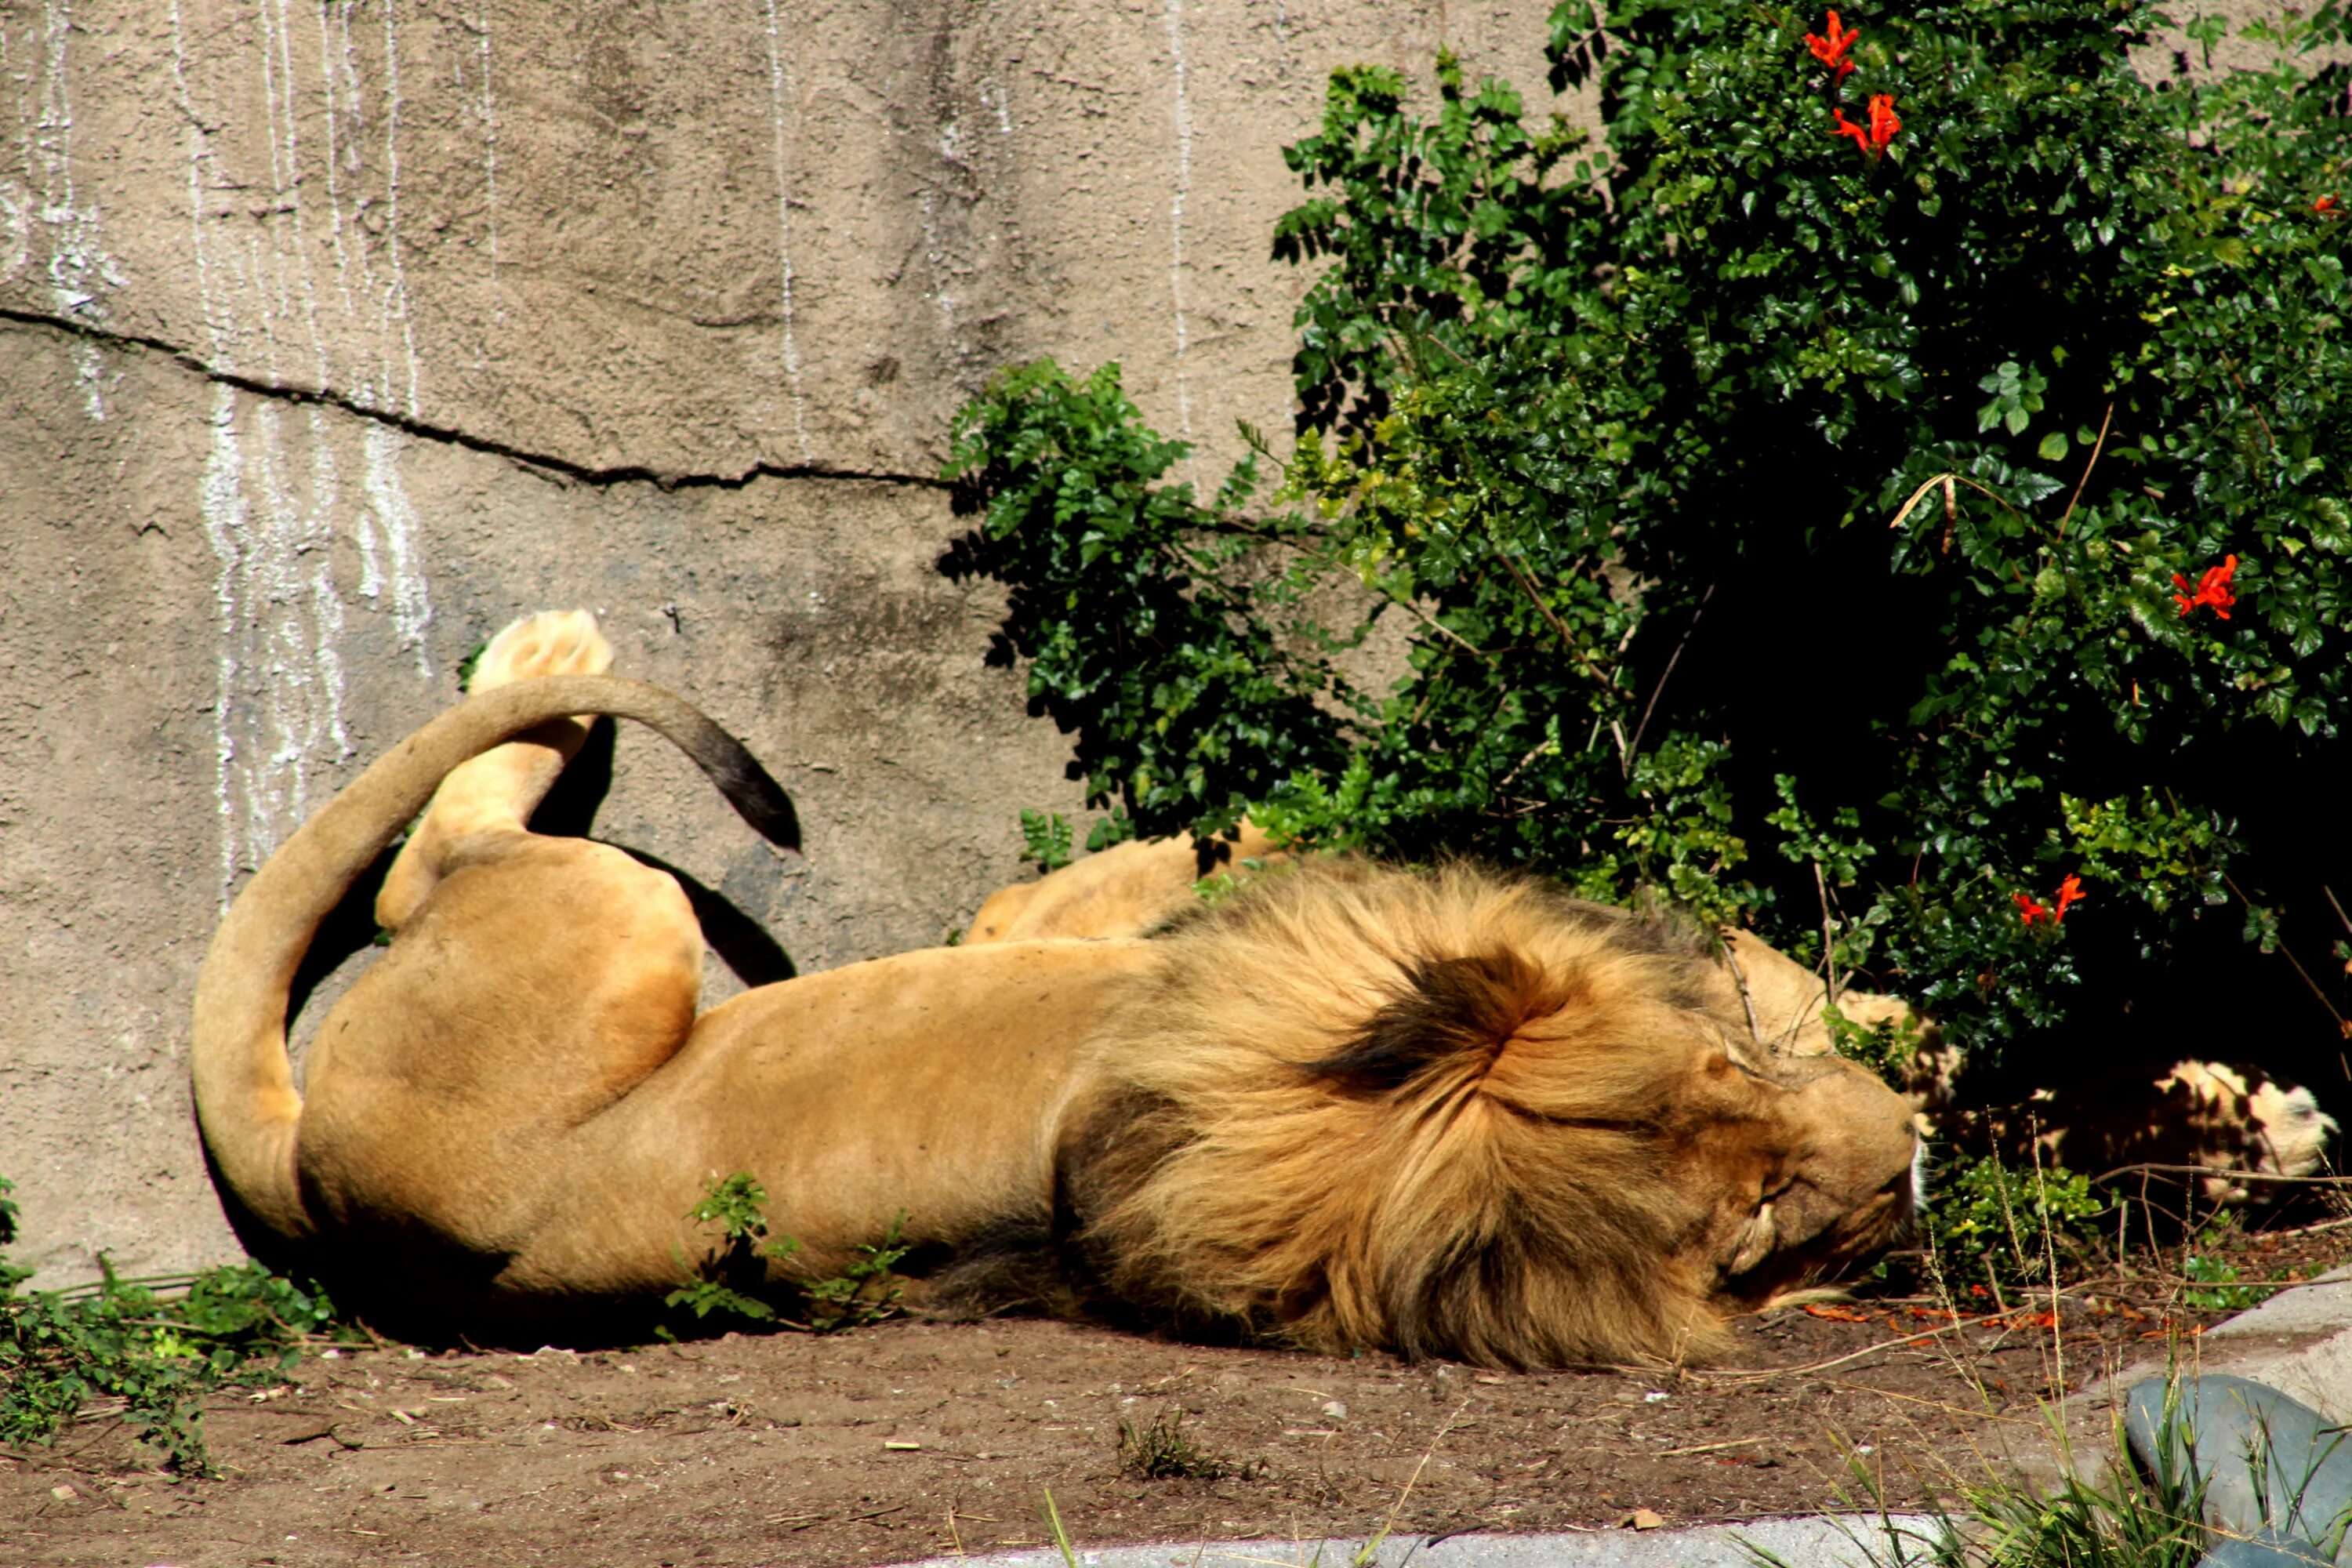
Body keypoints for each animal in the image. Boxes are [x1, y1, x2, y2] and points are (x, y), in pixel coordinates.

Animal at [198, 606, 1929, 1363]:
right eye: (1732, 1124)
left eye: (1759, 1227)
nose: (1908, 1171)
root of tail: (316, 1182)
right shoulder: (1052, 922)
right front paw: (1887, 1024)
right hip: (621, 920)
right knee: (422, 864)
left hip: (614, 924)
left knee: (432, 865)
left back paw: (542, 665)